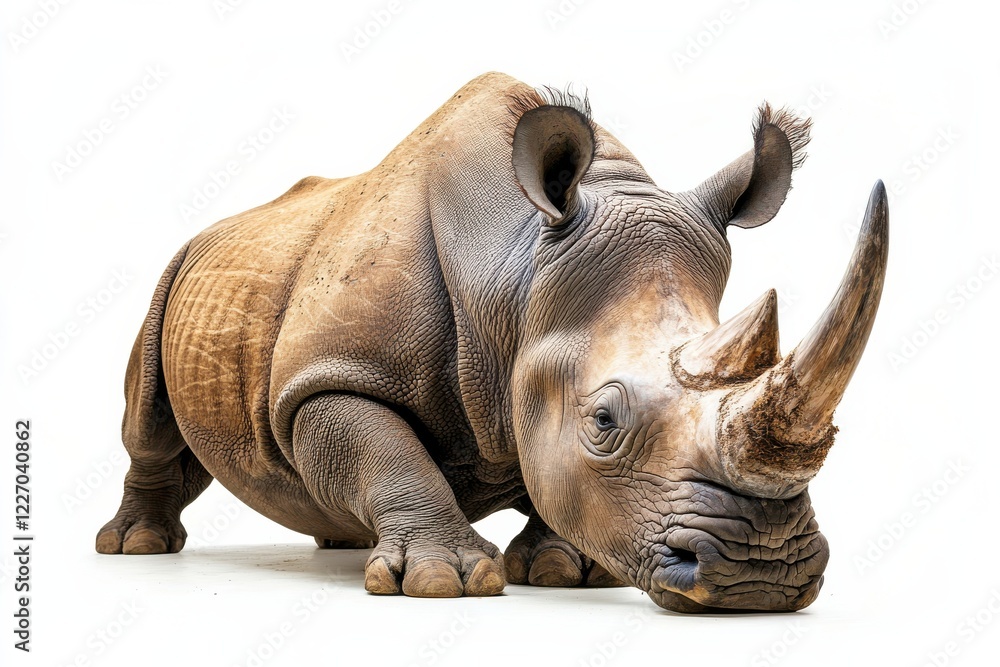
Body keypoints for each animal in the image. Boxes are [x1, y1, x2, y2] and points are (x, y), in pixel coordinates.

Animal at [97, 72, 888, 613]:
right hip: (176, 271)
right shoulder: (326, 376)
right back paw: (135, 547)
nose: (763, 572)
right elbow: (382, 446)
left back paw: (341, 540)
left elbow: (545, 474)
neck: (515, 278)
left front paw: (569, 570)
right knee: (147, 421)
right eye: (604, 420)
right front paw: (446, 581)